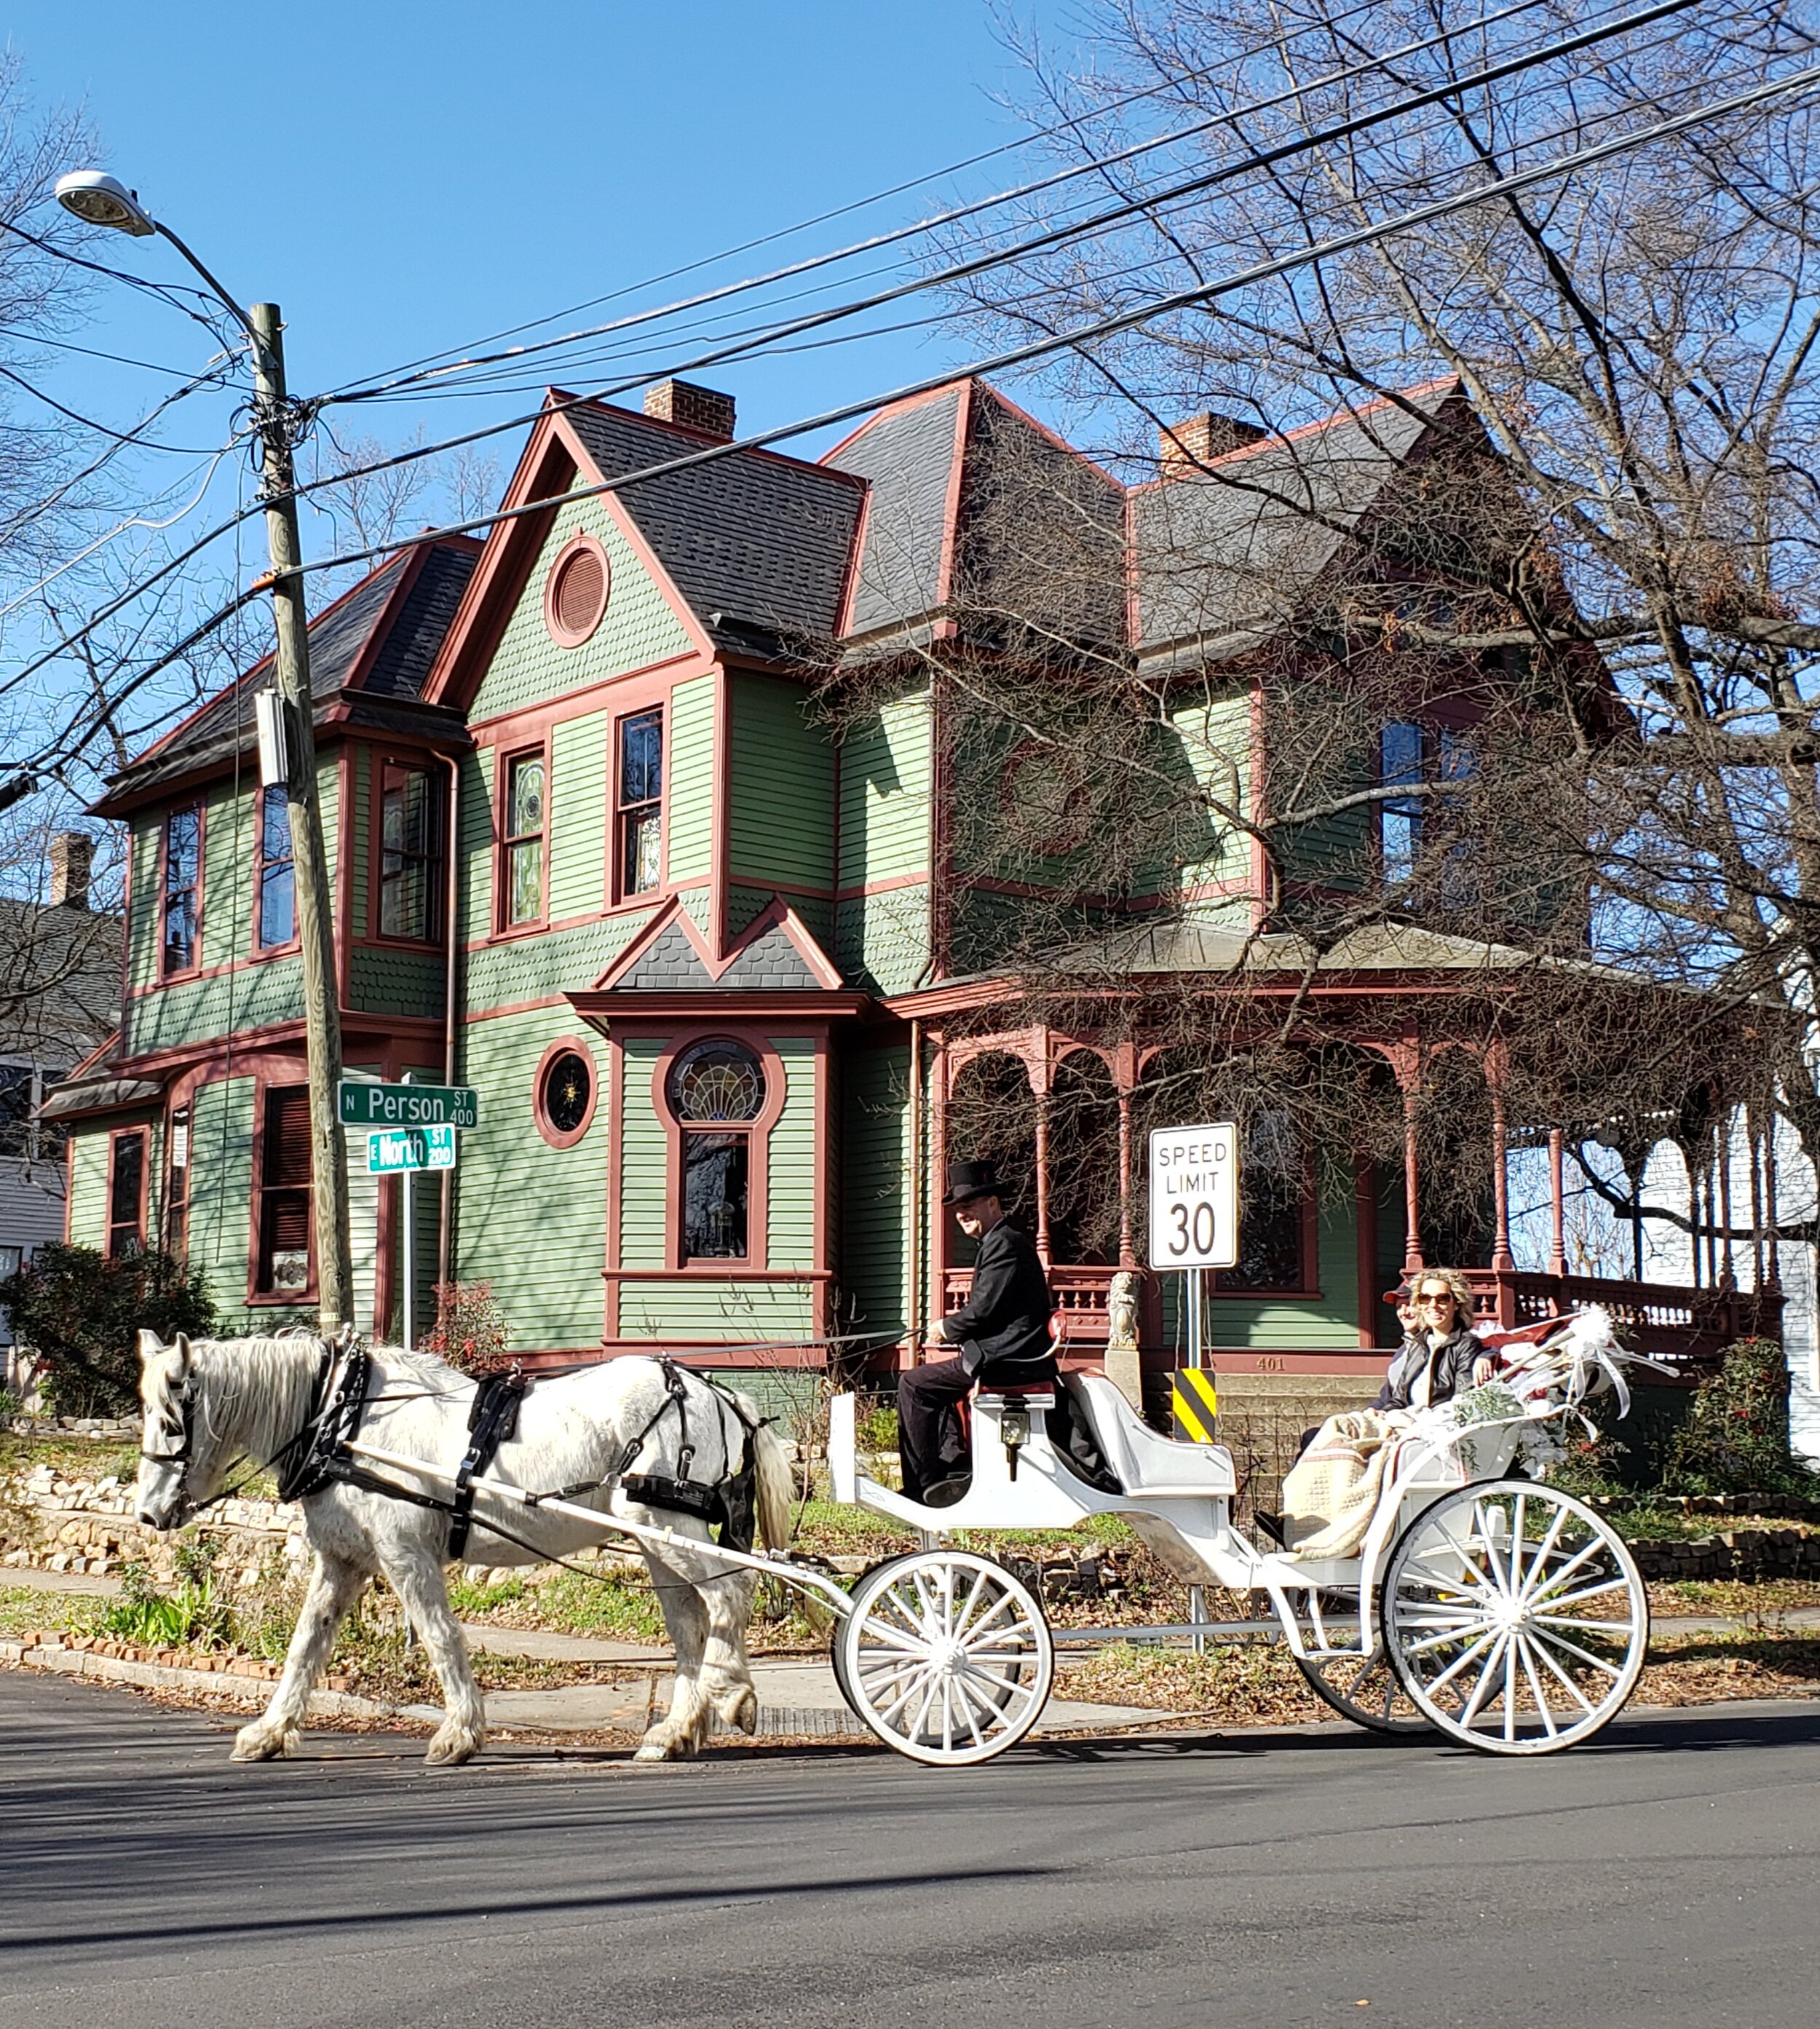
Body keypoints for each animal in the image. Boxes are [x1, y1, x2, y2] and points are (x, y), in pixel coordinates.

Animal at [138, 1331, 791, 1761]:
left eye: (171, 1421)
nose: (146, 1512)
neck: (344, 1423)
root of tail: (717, 1393)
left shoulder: (404, 1552)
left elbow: (438, 1634)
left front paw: (459, 1731)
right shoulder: (343, 1560)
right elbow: (306, 1643)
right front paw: (269, 1731)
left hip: (662, 1517)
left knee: (732, 1590)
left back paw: (732, 1692)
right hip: (656, 1532)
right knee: (689, 1621)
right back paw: (677, 1729)